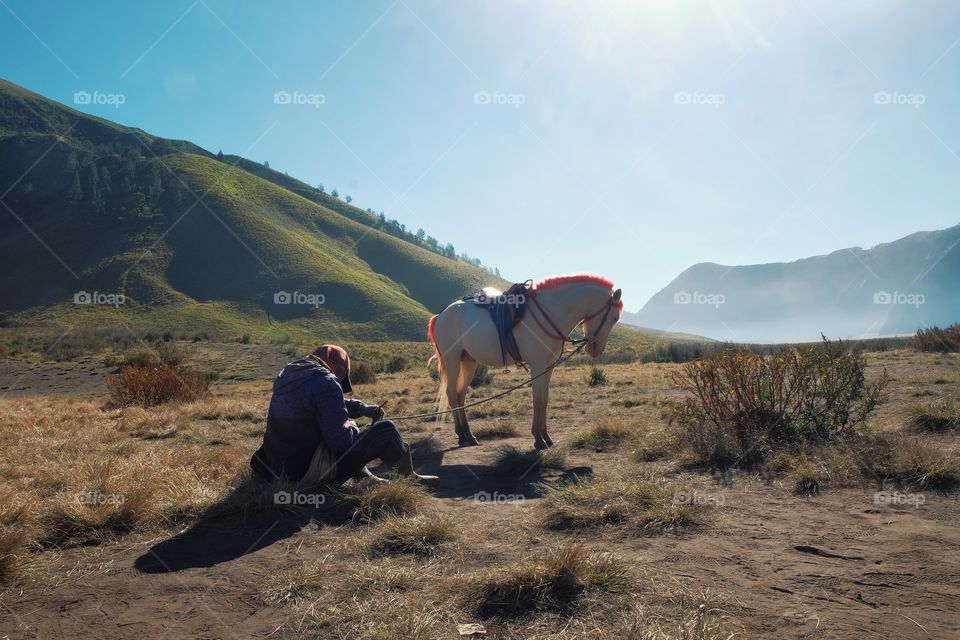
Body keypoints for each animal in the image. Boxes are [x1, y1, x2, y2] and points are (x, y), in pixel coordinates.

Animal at [428, 276, 624, 450]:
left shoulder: (548, 367)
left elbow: (544, 400)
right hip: (452, 359)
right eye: (614, 318)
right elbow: (537, 400)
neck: (551, 311)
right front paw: (538, 440)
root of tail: (441, 314)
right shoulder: (537, 366)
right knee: (452, 394)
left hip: (469, 361)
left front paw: (547, 438)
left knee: (460, 395)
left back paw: (469, 436)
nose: (597, 350)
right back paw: (461, 436)